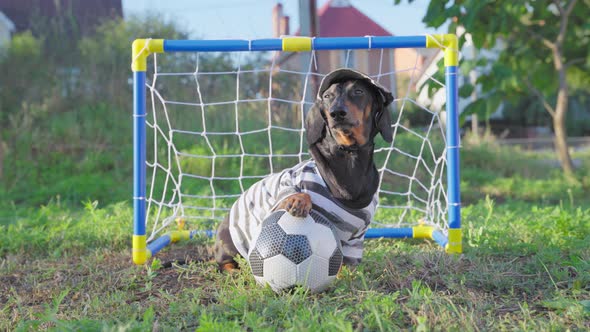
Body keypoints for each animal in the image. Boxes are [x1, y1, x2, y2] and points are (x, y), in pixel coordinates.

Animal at [215, 68, 396, 272]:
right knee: (225, 262)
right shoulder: (284, 187)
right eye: (327, 96)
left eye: (358, 92)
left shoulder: (356, 239)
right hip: (228, 244)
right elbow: (294, 190)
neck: (349, 155)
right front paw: (299, 201)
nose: (336, 113)